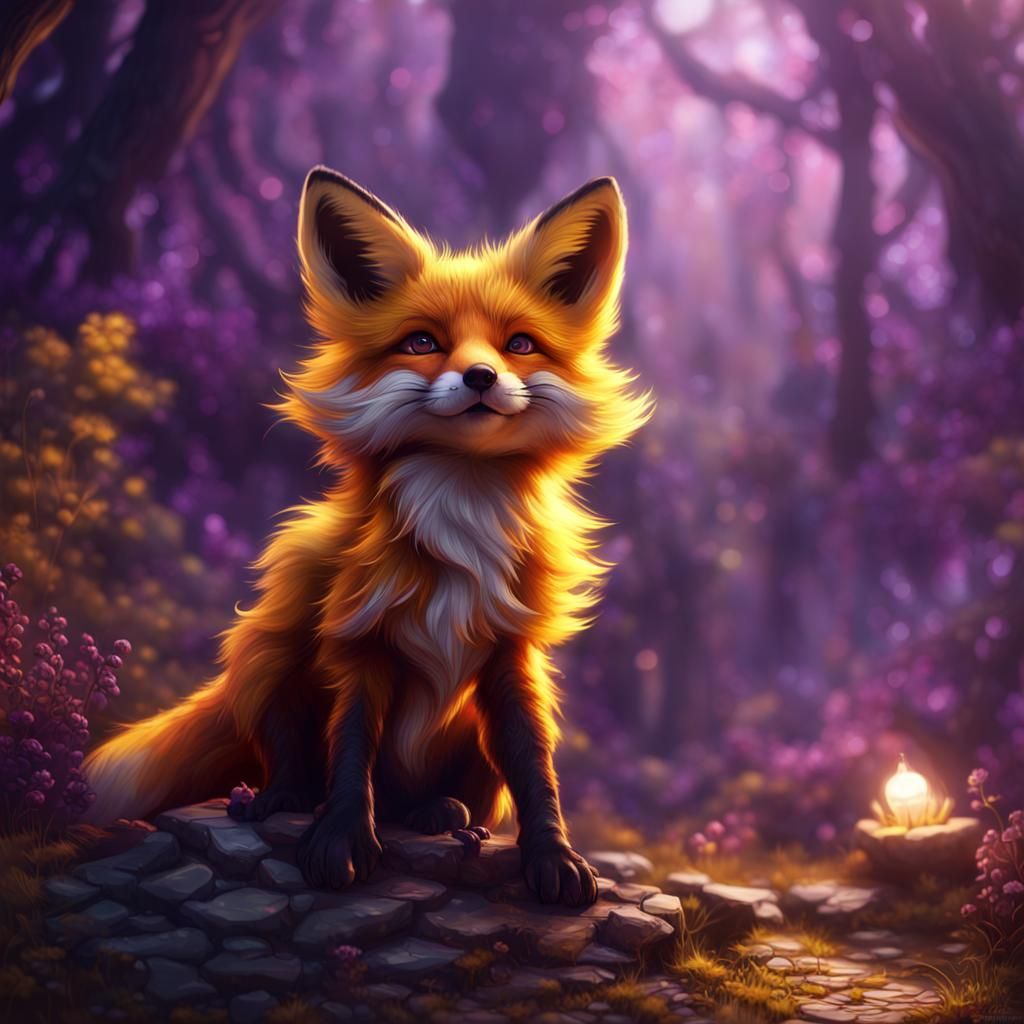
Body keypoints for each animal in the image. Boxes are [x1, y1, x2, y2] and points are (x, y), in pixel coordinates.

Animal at [84, 166, 652, 906]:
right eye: (423, 342)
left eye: (519, 345)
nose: (481, 376)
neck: (458, 510)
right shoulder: (358, 637)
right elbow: (352, 749)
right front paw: (341, 840)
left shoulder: (512, 651)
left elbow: (534, 764)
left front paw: (554, 856)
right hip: (267, 648)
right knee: (292, 751)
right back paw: (282, 798)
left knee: (440, 794)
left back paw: (438, 813)